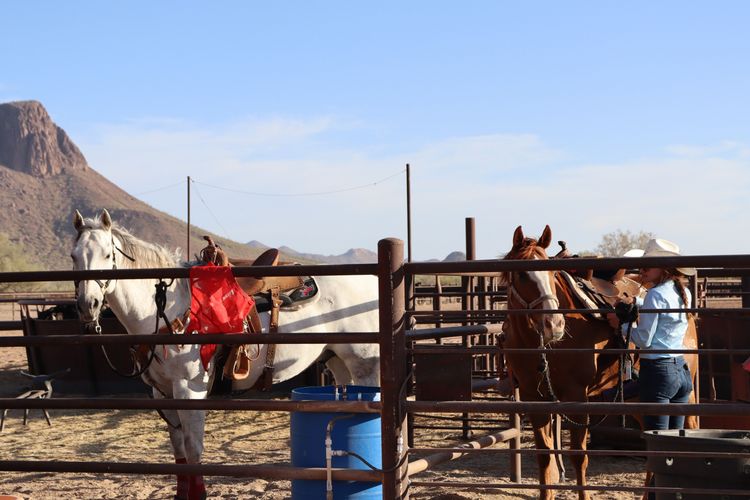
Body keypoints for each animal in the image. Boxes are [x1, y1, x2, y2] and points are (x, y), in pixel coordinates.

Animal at [71, 209, 380, 500]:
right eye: (74, 257)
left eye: (107, 254)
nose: (89, 305)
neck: (169, 308)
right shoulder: (163, 391)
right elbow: (178, 448)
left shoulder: (190, 389)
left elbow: (193, 449)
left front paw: (199, 493)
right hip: (337, 361)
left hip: (365, 364)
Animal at [501, 225, 698, 500]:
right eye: (520, 275)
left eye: (551, 272)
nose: (554, 325)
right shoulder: (533, 399)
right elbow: (545, 456)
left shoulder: (576, 397)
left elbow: (578, 456)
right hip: (639, 397)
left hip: (685, 393)